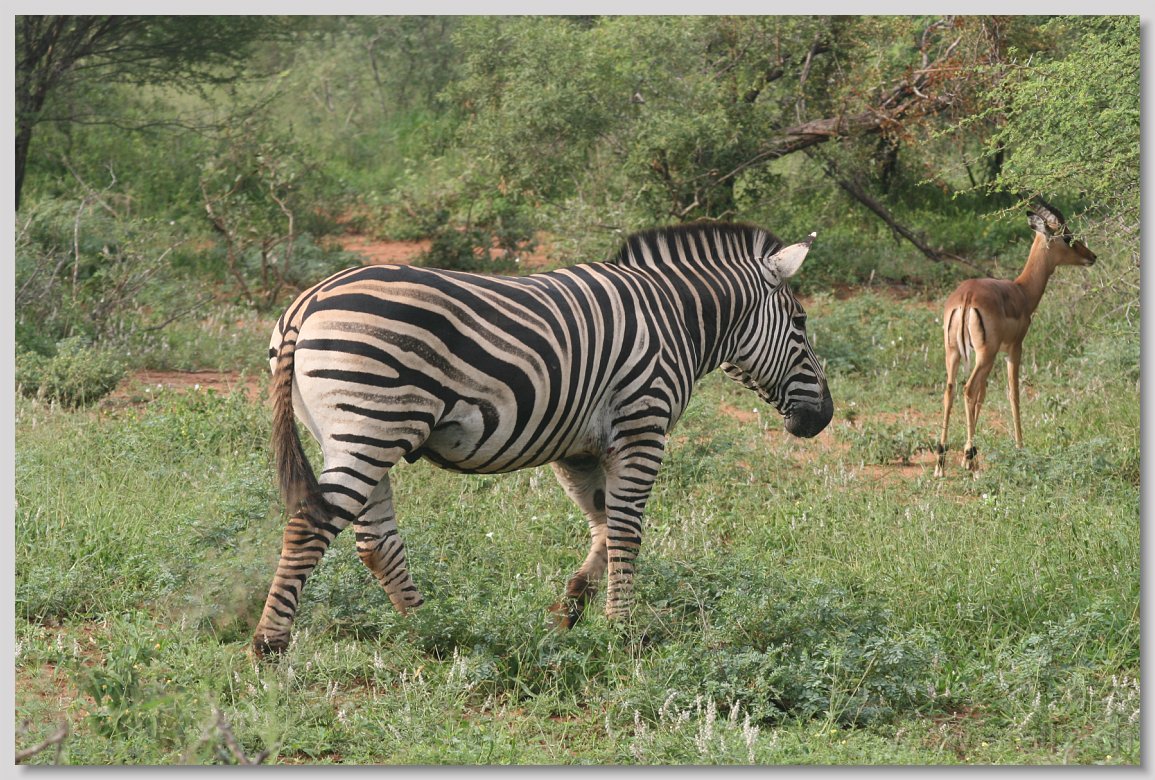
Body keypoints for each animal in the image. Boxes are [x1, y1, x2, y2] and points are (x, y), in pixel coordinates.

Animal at [253, 221, 833, 657]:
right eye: (801, 323)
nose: (823, 417)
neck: (675, 318)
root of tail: (309, 300)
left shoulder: (577, 447)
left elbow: (603, 523)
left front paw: (571, 608)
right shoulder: (642, 427)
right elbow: (627, 531)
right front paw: (623, 631)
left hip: (356, 434)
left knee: (375, 542)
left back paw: (432, 631)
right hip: (372, 426)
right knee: (309, 527)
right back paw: (270, 644)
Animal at [934, 199, 1097, 476]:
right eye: (1067, 236)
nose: (1092, 256)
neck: (1021, 291)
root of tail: (966, 297)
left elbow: (983, 396)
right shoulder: (1014, 348)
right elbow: (1014, 393)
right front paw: (1020, 447)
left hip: (954, 353)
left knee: (951, 391)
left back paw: (941, 463)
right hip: (984, 355)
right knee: (968, 389)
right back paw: (971, 461)